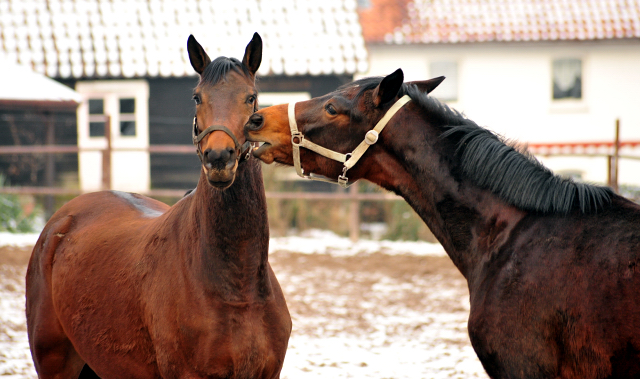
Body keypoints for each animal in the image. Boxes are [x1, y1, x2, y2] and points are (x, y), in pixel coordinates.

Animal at [26, 33, 292, 379]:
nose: (219, 158)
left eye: (251, 97)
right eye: (197, 97)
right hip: (55, 363)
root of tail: (59, 223)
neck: (237, 287)